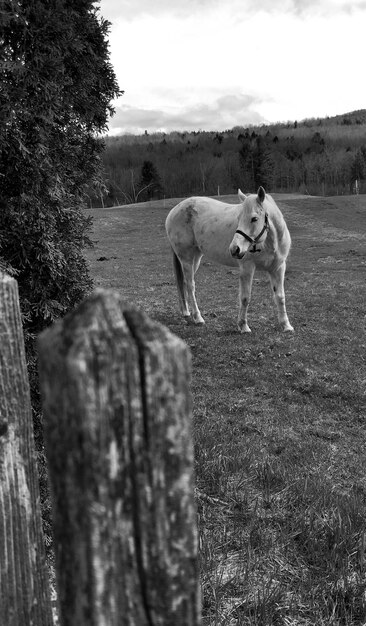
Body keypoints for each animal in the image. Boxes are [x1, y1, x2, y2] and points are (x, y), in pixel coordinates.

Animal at [166, 185, 294, 332]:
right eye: (238, 218)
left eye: (254, 219)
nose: (234, 249)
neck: (270, 242)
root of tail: (174, 211)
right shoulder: (247, 268)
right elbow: (245, 297)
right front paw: (243, 326)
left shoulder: (278, 268)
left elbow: (280, 297)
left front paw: (286, 325)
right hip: (186, 258)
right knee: (190, 285)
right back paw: (198, 318)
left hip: (195, 258)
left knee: (184, 284)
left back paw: (186, 312)